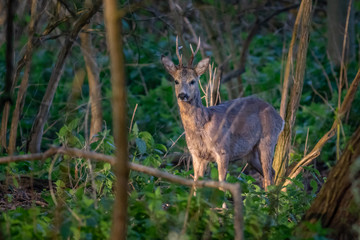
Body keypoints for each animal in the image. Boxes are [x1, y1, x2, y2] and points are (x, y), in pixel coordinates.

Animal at [161, 37, 284, 190]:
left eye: (193, 81)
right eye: (176, 81)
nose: (182, 95)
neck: (202, 127)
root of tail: (280, 118)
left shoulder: (223, 150)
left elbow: (222, 185)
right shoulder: (196, 155)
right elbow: (196, 184)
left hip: (268, 139)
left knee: (268, 175)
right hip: (251, 153)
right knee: (271, 172)